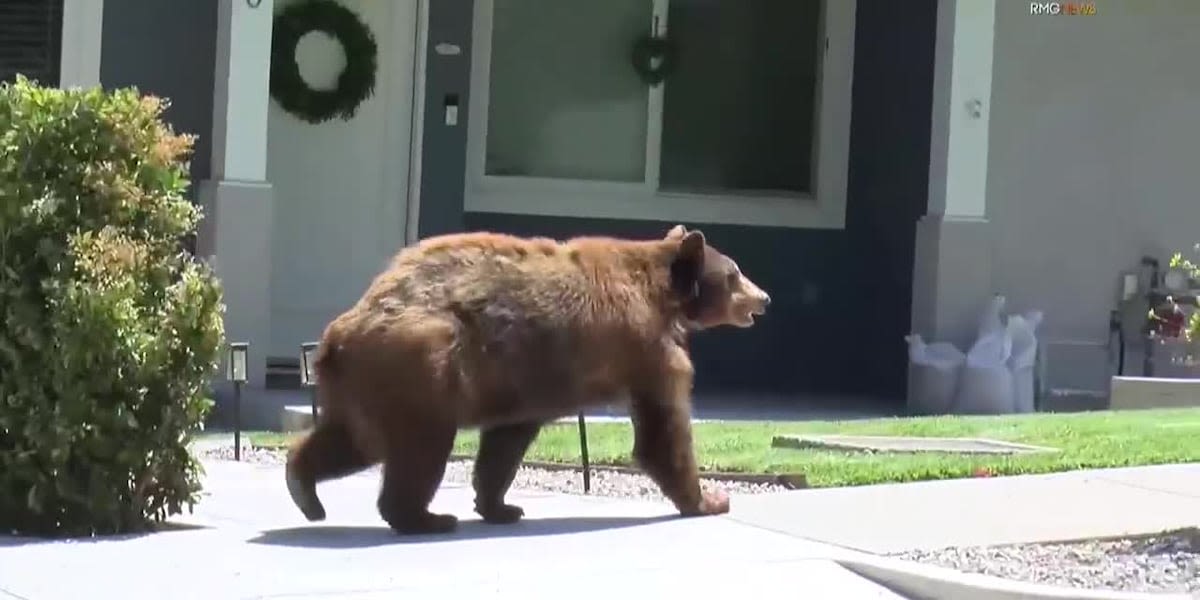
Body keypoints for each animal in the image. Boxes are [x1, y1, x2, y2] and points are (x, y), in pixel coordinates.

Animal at [284, 224, 768, 535]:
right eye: (734, 273)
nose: (763, 297)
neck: (662, 294)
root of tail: (339, 332)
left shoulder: (524, 379)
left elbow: (506, 441)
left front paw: (499, 505)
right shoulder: (646, 348)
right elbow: (663, 427)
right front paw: (709, 500)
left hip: (368, 381)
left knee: (352, 440)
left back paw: (304, 488)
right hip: (420, 365)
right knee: (419, 446)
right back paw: (424, 519)